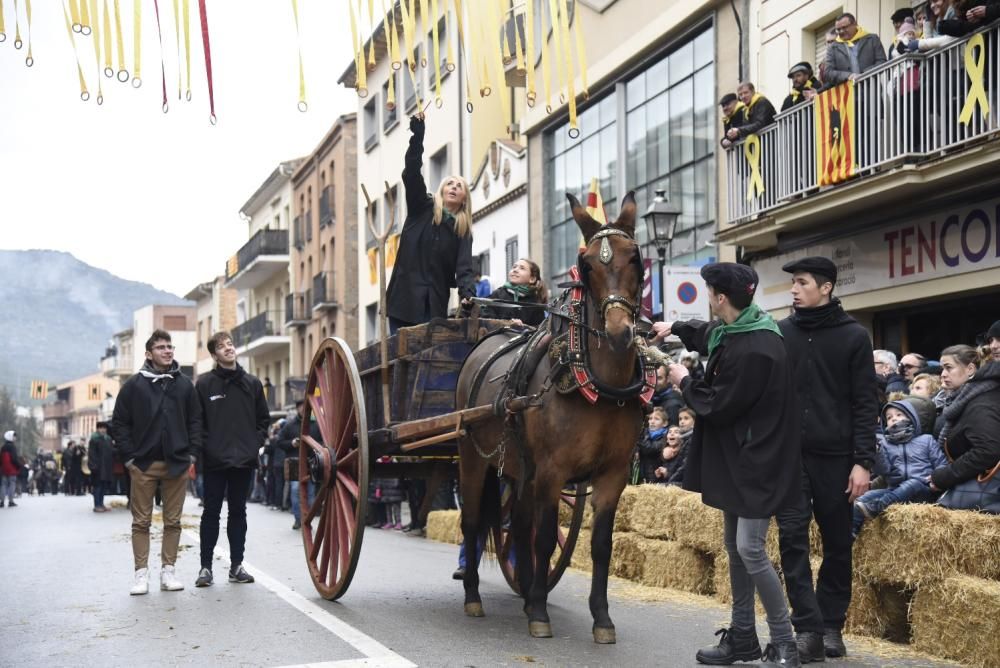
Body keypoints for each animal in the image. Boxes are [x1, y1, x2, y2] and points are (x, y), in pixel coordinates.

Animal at [458, 190, 652, 644]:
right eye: (586, 264)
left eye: (635, 257)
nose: (619, 333)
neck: (600, 387)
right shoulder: (552, 471)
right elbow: (545, 539)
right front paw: (540, 615)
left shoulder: (613, 475)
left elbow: (600, 546)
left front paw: (601, 618)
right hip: (474, 459)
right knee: (473, 522)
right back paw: (474, 595)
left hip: (520, 471)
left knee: (518, 524)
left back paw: (529, 590)